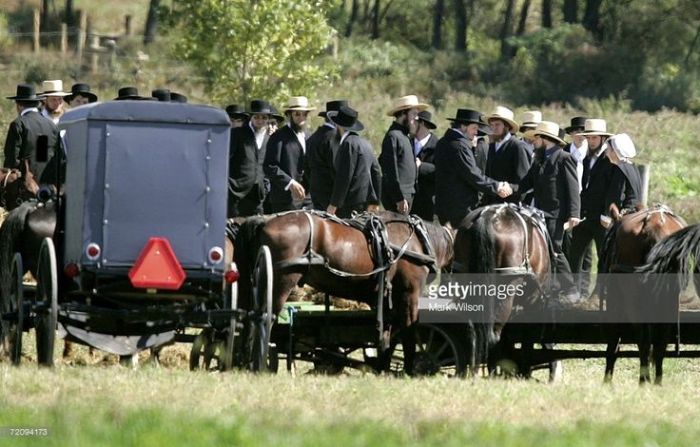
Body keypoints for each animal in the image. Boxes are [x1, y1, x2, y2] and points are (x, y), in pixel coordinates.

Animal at [232, 210, 456, 374]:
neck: (416, 241)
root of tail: (263, 222)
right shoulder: (410, 295)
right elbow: (408, 334)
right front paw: (411, 368)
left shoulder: (386, 301)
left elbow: (387, 336)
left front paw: (382, 367)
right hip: (281, 282)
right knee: (265, 318)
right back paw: (259, 365)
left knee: (251, 317)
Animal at [454, 205, 552, 380]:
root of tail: (487, 216)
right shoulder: (532, 303)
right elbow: (527, 339)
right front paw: (524, 372)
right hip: (505, 294)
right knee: (492, 335)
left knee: (473, 332)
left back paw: (474, 370)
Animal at [600, 206, 688, 384]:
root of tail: (654, 226)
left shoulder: (615, 300)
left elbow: (613, 341)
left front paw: (607, 380)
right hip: (668, 297)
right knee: (660, 340)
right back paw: (656, 380)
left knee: (643, 338)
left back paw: (644, 379)